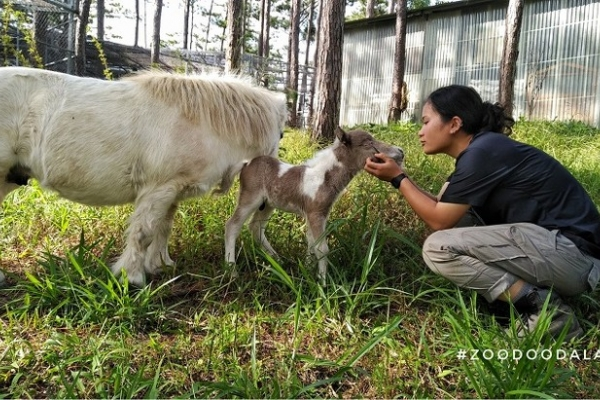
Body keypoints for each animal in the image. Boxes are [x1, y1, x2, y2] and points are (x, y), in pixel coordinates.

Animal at [0, 67, 288, 286]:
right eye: (282, 135)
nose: (265, 201)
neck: (198, 120)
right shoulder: (158, 190)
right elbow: (144, 233)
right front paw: (133, 277)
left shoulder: (171, 192)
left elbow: (163, 227)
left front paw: (161, 265)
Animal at [221, 127, 404, 282]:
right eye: (367, 144)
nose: (400, 152)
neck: (325, 178)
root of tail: (246, 163)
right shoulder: (316, 213)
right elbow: (322, 248)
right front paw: (322, 284)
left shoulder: (315, 214)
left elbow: (312, 242)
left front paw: (308, 271)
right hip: (250, 197)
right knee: (232, 225)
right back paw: (232, 271)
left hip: (268, 204)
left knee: (255, 227)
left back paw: (278, 260)